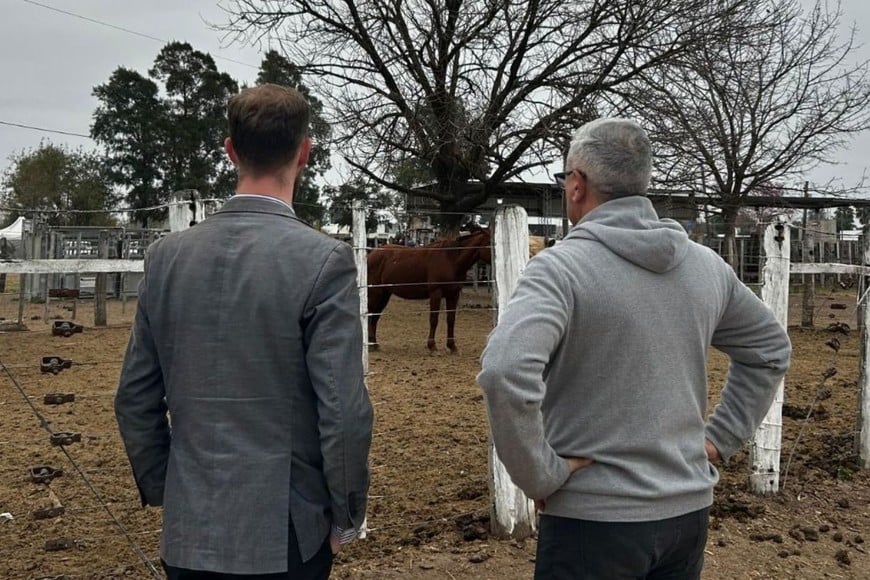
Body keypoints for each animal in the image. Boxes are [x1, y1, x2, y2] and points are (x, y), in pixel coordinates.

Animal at [366, 229, 494, 352]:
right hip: (375, 293)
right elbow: (434, 319)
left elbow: (451, 319)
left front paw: (452, 346)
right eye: (489, 242)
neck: (451, 259)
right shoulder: (436, 293)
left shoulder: (453, 295)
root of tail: (371, 255)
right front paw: (432, 346)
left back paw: (374, 344)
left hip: (384, 295)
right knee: (370, 315)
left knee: (375, 317)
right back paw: (370, 345)